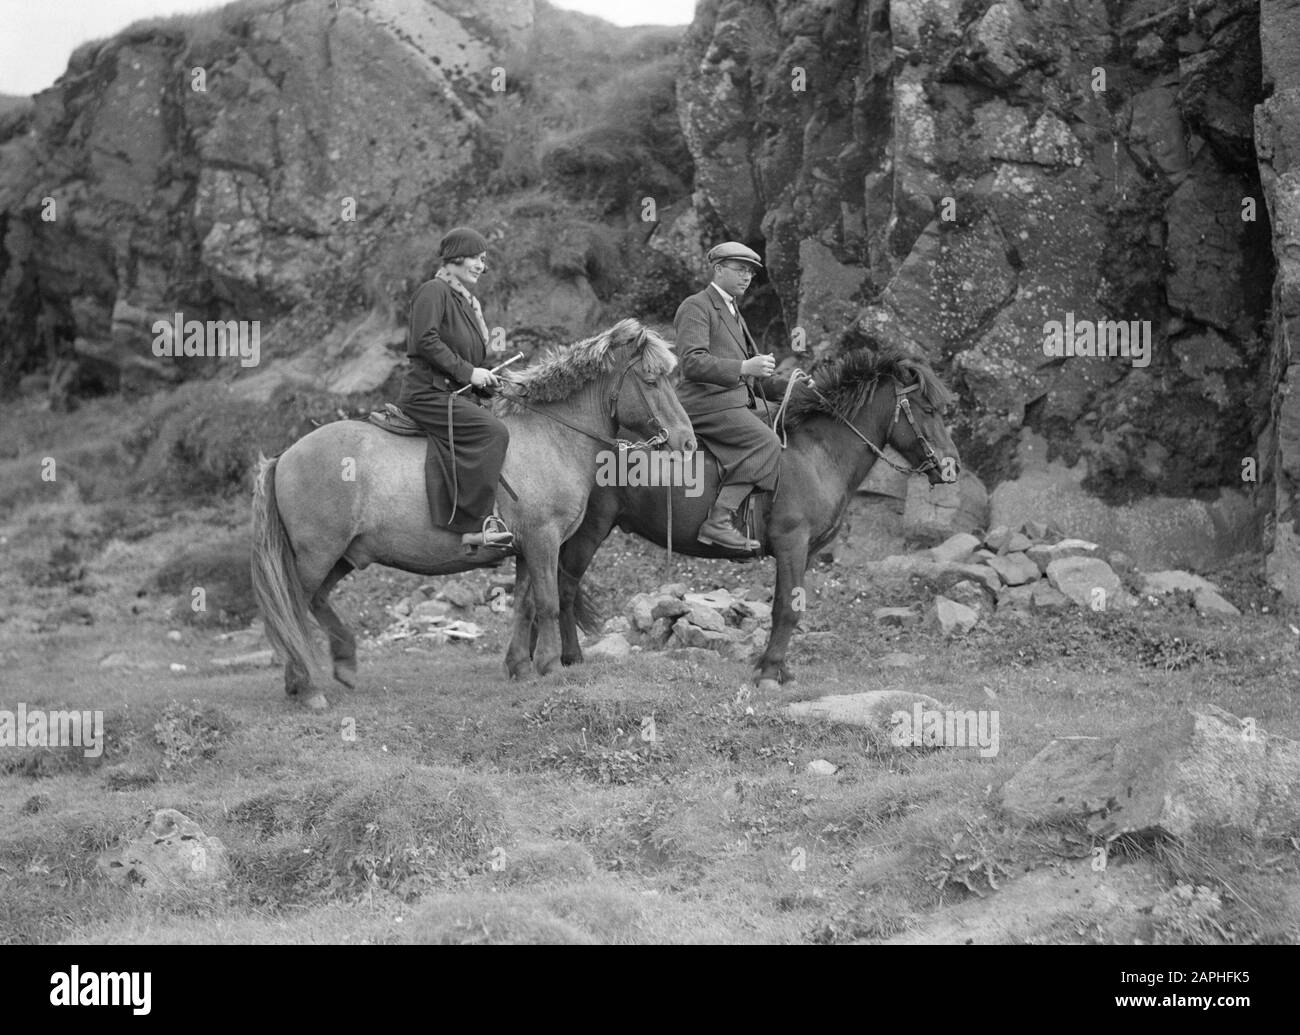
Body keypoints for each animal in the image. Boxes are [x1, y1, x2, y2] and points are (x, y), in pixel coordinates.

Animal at [533, 343, 961, 691]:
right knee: (564, 588)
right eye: (927, 409)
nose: (951, 468)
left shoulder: (803, 552)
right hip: (589, 530)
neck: (818, 454)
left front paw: (780, 670)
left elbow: (786, 606)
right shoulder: (792, 543)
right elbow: (787, 611)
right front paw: (769, 673)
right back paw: (570, 658)